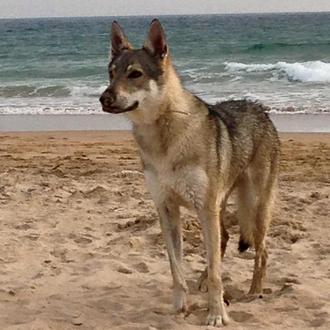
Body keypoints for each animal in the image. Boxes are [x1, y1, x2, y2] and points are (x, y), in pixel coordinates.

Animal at [99, 19, 280, 326]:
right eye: (111, 74)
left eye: (135, 74)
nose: (103, 98)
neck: (163, 140)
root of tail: (260, 108)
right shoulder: (166, 209)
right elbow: (176, 269)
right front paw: (179, 307)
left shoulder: (203, 208)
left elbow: (218, 273)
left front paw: (217, 313)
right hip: (219, 207)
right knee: (225, 240)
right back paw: (203, 281)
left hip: (253, 209)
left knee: (262, 251)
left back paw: (254, 291)